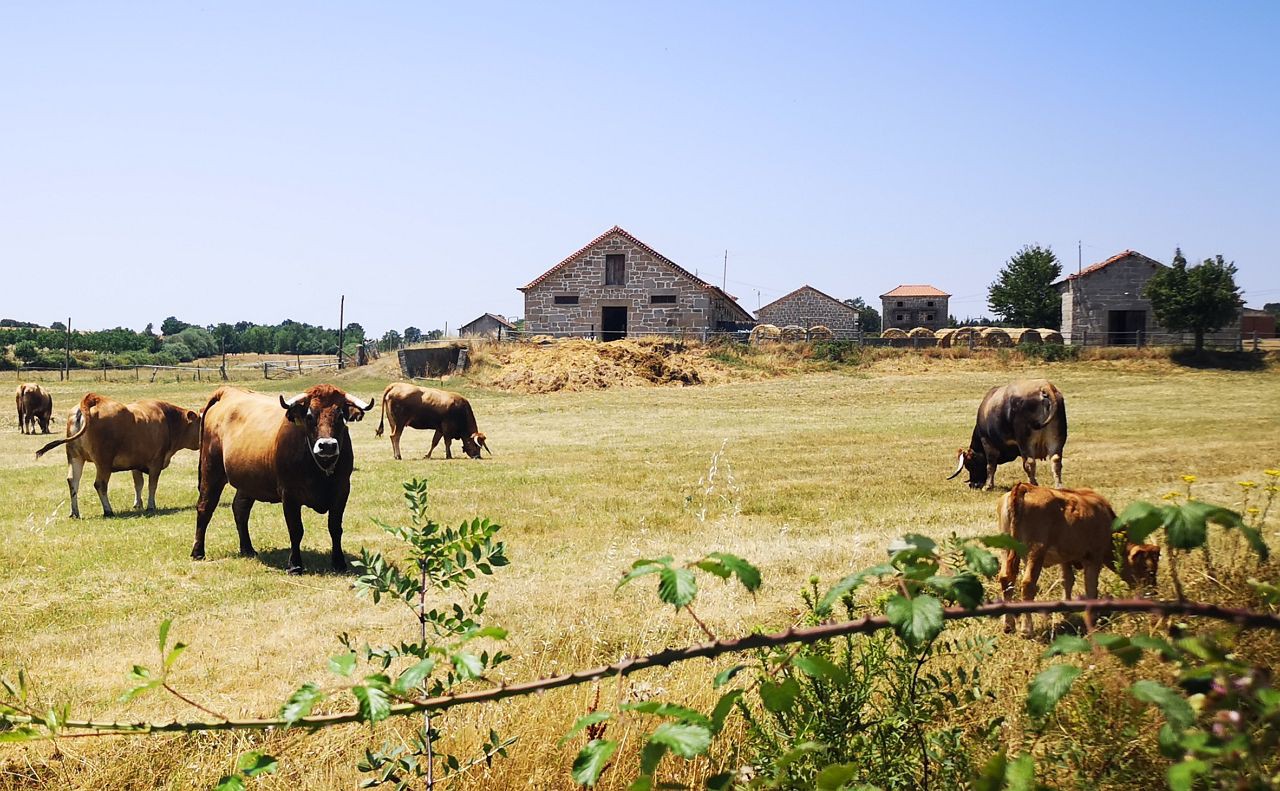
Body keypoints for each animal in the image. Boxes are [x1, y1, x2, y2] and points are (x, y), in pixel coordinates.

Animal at [35, 391, 202, 514]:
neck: (169, 420)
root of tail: (91, 400)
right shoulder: (156, 461)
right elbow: (152, 485)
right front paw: (150, 505)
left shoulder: (136, 463)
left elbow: (138, 484)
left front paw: (138, 504)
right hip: (103, 462)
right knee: (100, 484)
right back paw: (108, 510)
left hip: (75, 457)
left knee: (73, 481)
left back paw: (75, 512)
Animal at [189, 383, 373, 573]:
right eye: (309, 415)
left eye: (341, 415)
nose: (327, 445)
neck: (320, 468)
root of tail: (227, 391)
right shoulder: (289, 493)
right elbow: (296, 529)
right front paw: (295, 565)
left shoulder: (342, 490)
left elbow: (335, 528)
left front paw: (339, 562)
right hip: (211, 471)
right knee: (205, 508)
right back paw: (198, 552)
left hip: (248, 482)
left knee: (240, 509)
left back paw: (247, 548)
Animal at [993, 481, 1167, 634]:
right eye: (1150, 570)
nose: (1153, 593)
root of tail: (1024, 487)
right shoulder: (1094, 558)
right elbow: (1091, 588)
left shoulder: (1065, 558)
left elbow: (1067, 580)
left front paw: (1066, 611)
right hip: (1036, 551)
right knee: (1028, 584)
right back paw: (1026, 629)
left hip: (1005, 548)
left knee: (1006, 579)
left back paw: (1008, 625)